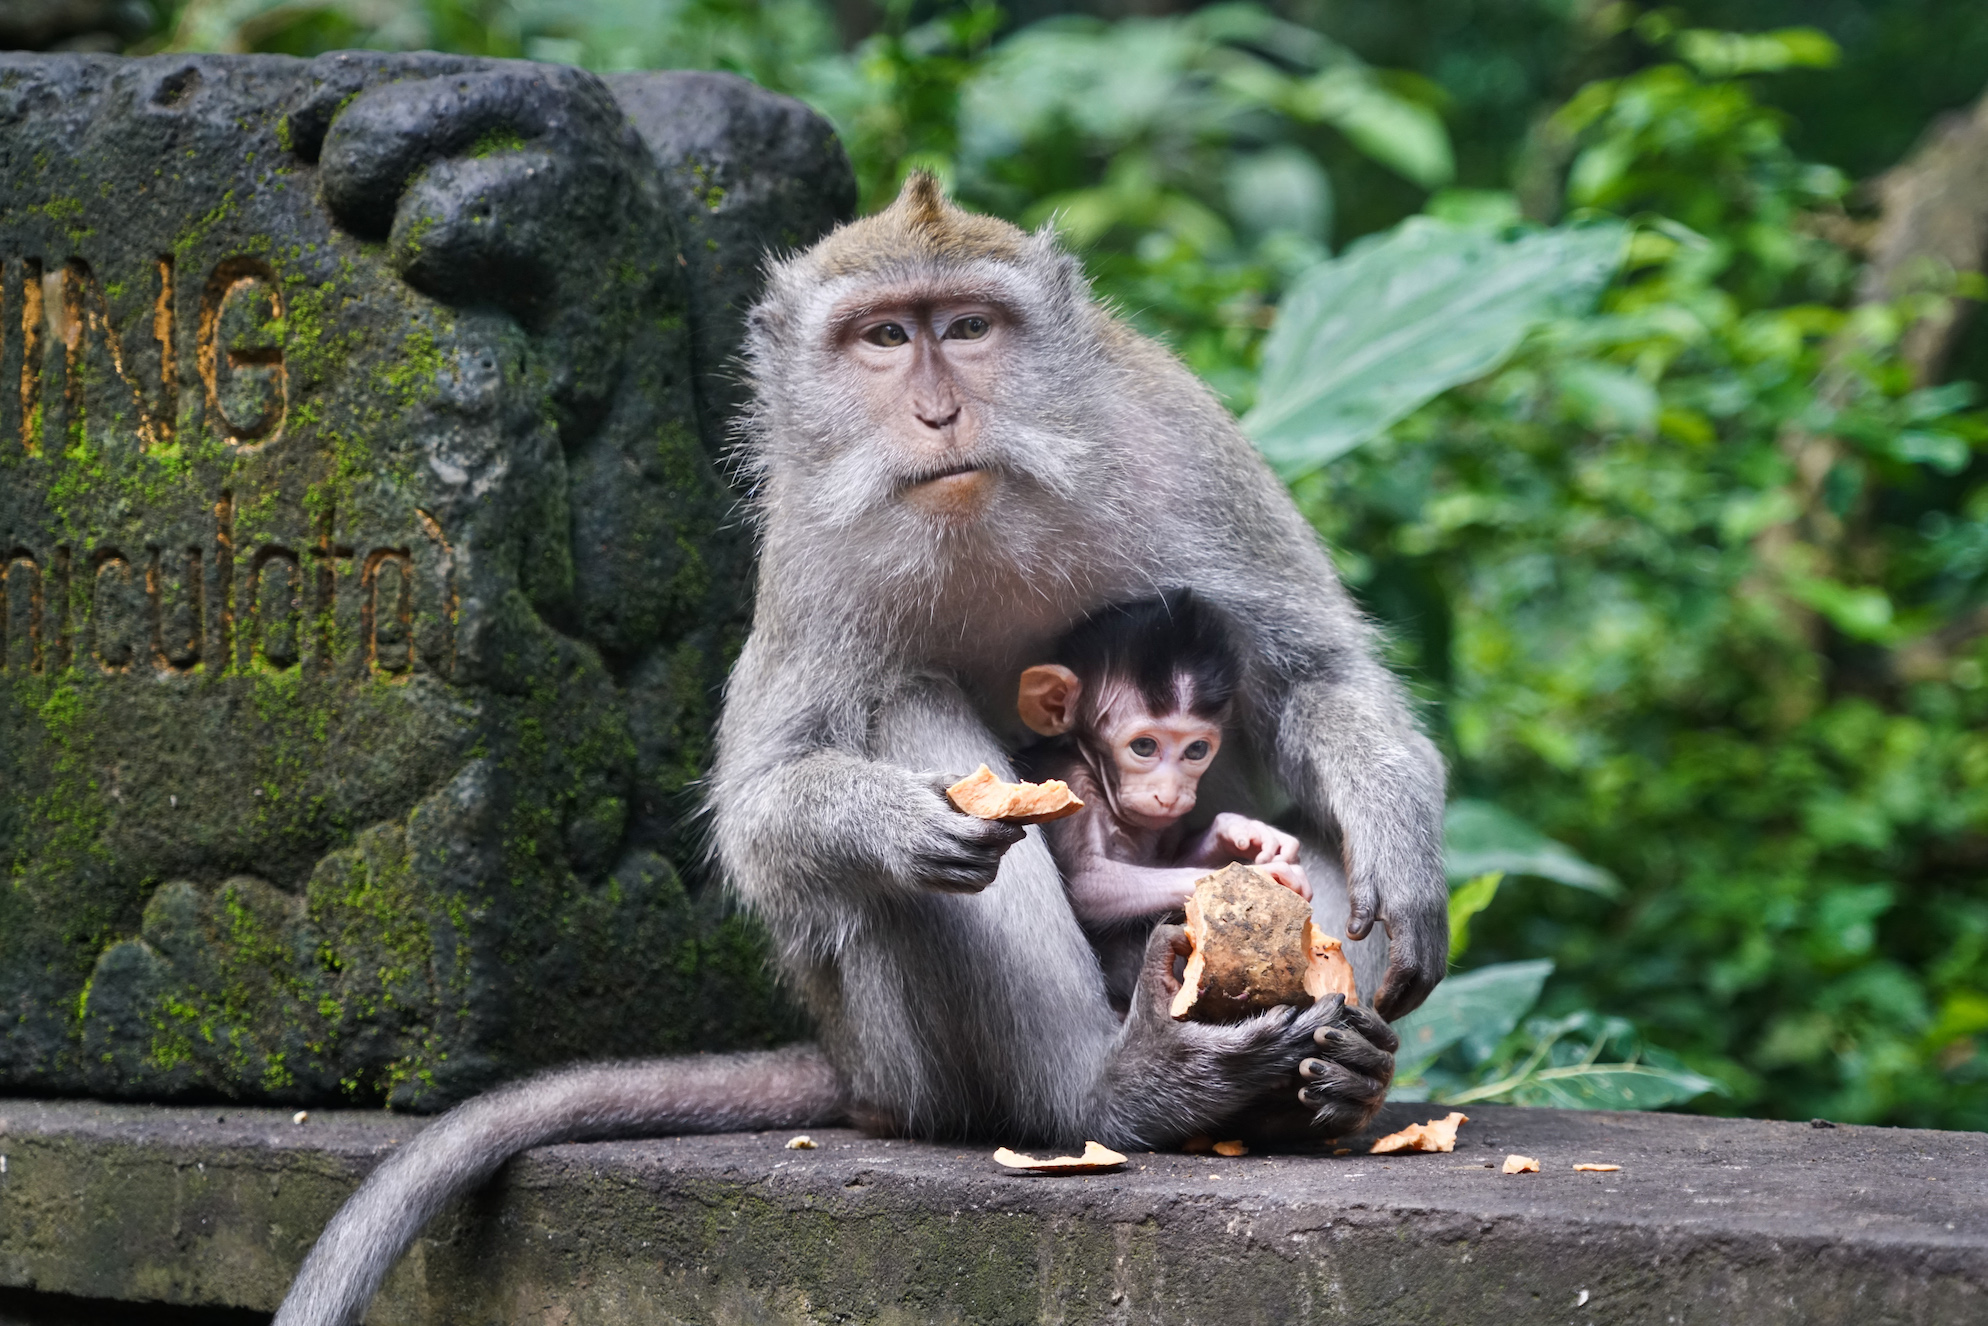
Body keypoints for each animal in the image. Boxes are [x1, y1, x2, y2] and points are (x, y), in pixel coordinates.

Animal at [1017, 592, 1312, 1005]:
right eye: (1144, 747)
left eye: (1196, 750)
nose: (1170, 793)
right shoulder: (1069, 781)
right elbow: (1085, 885)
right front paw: (1259, 873)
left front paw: (1239, 832)